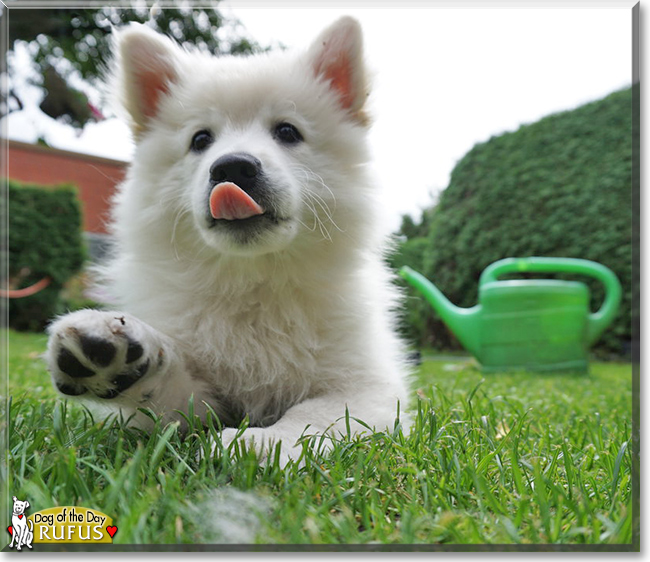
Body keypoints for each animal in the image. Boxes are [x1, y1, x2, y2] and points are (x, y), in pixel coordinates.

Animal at [45, 17, 408, 462]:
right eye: (201, 140)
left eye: (287, 132)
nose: (233, 167)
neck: (254, 283)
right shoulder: (197, 403)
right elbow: (174, 392)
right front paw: (118, 356)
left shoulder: (367, 387)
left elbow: (313, 414)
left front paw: (263, 442)